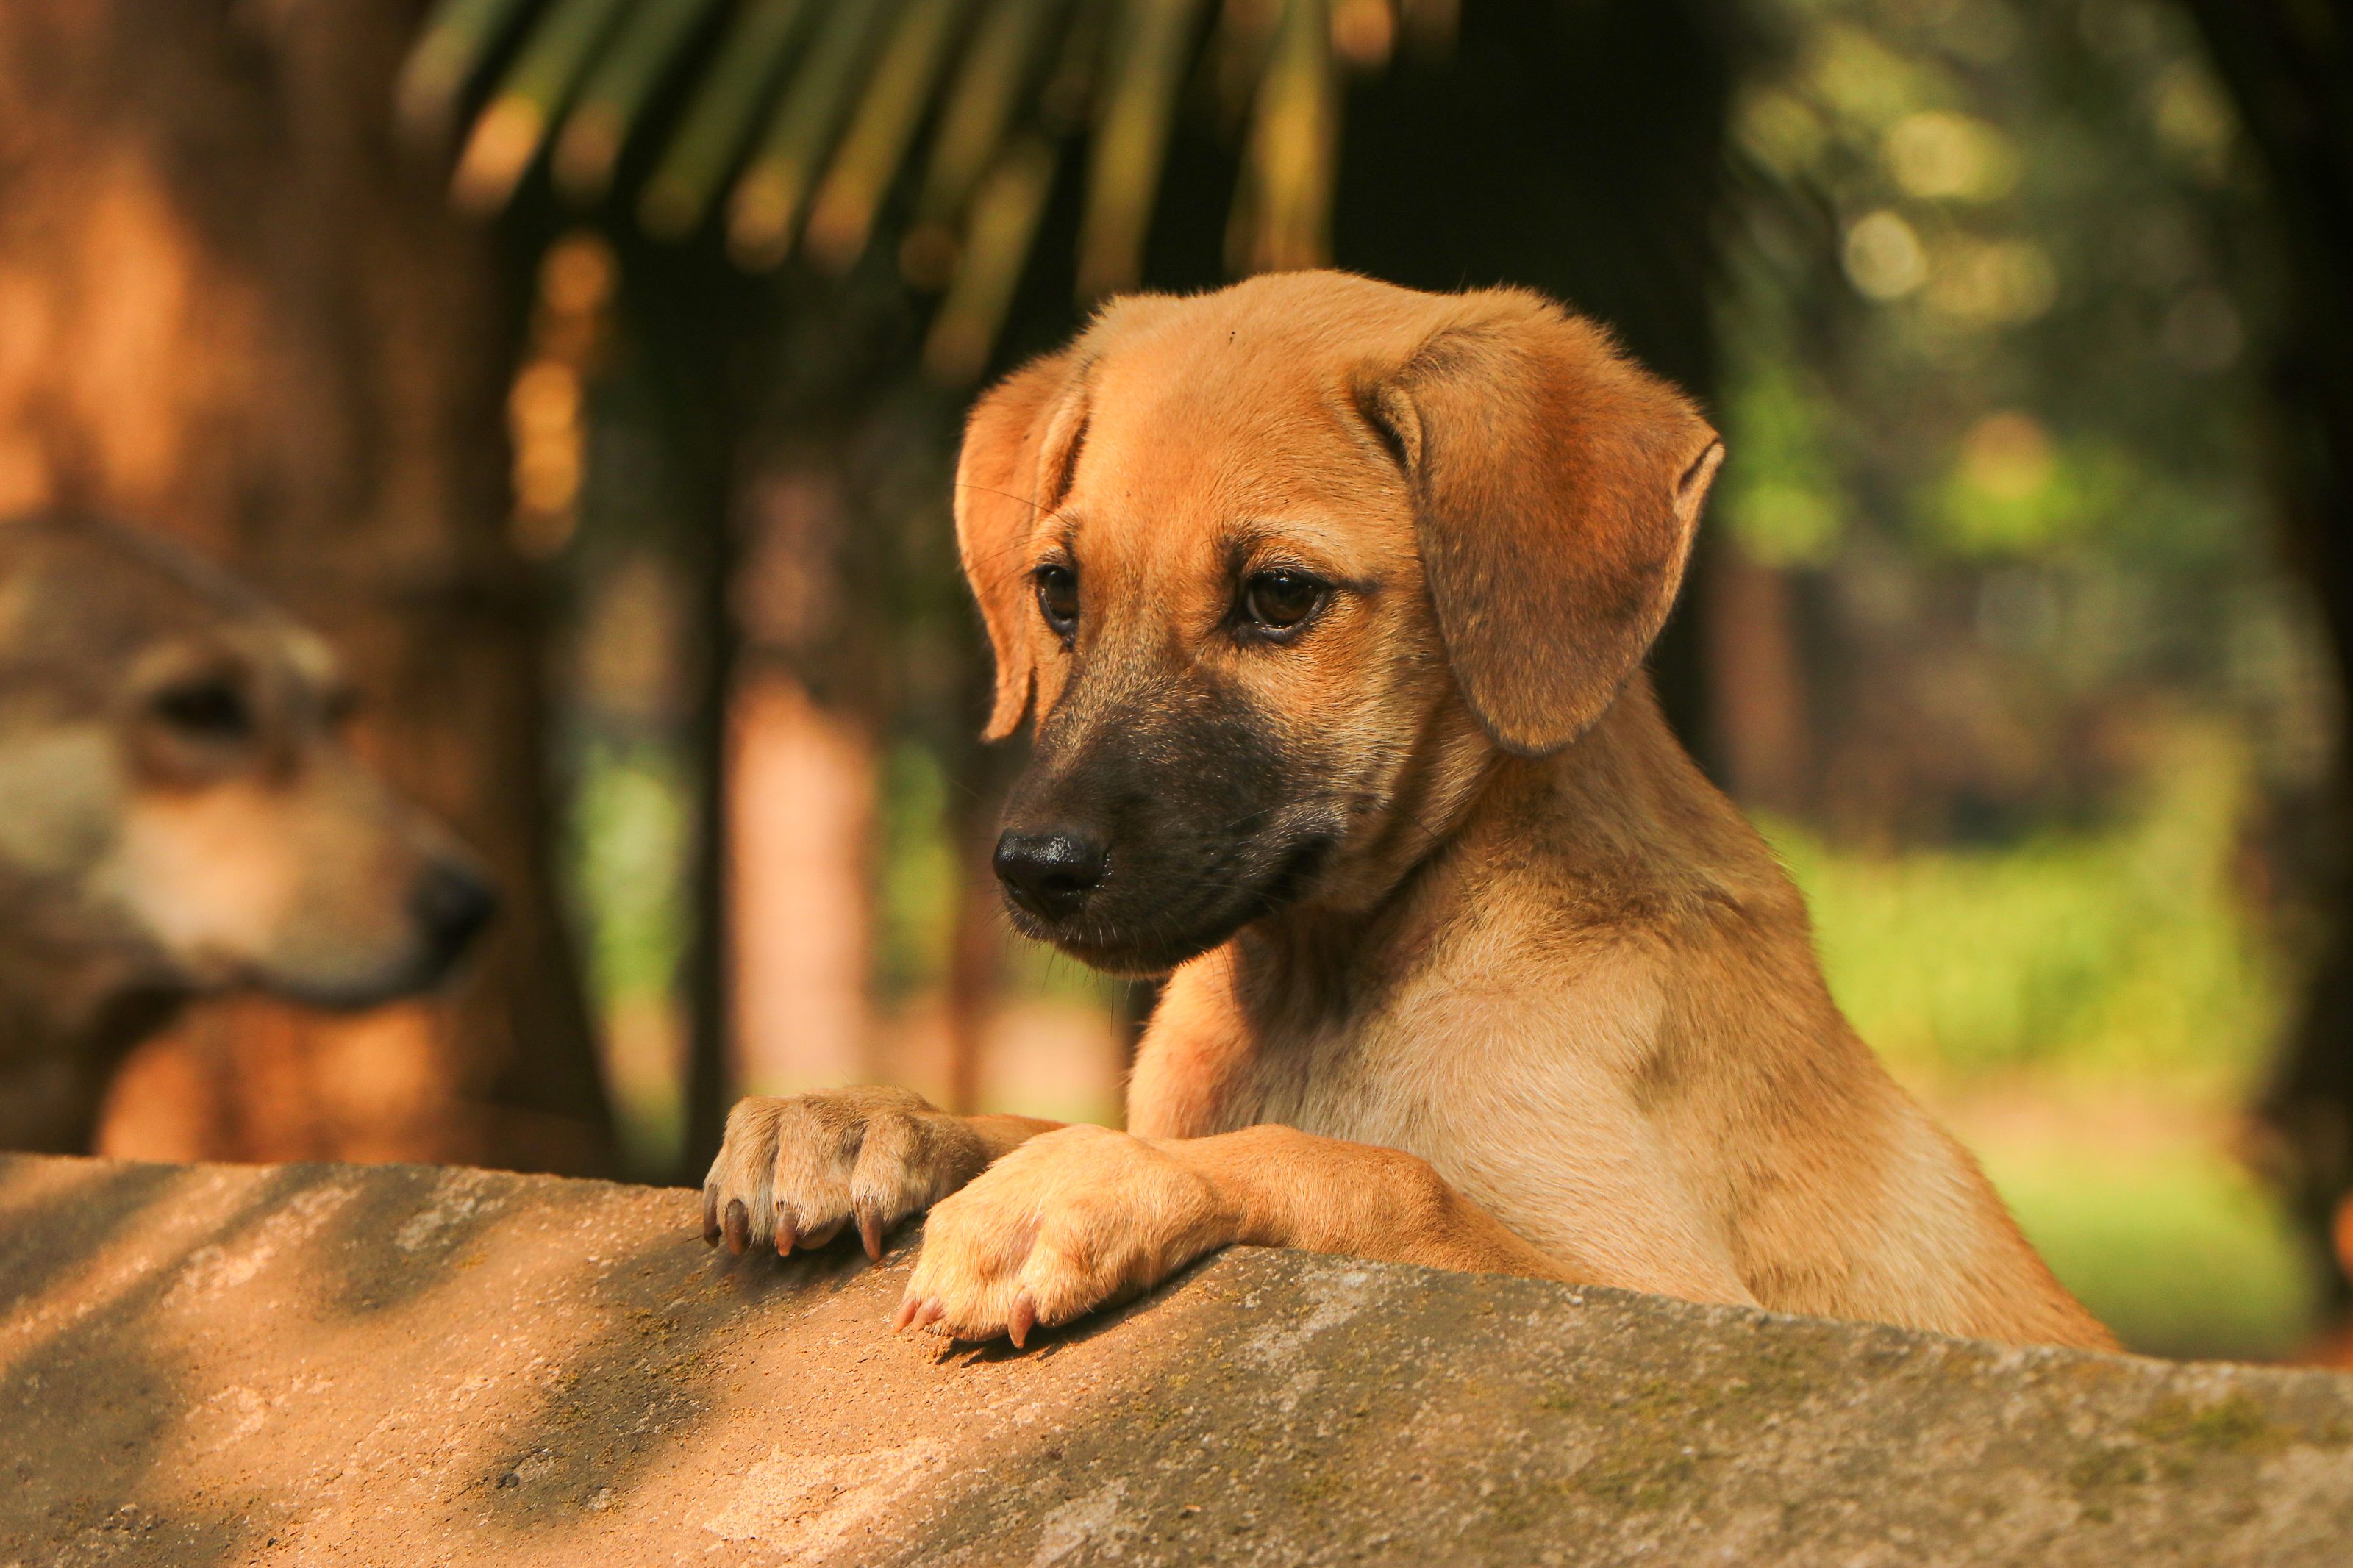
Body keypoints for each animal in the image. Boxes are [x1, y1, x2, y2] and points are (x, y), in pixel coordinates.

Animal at [701, 270, 2118, 1353]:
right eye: (1058, 590)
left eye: (1280, 596)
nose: (1034, 867)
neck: (1335, 984)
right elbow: (1038, 1115)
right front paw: (866, 1119)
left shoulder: (1668, 1290)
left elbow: (1376, 1172)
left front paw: (1083, 1187)